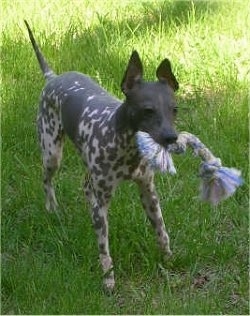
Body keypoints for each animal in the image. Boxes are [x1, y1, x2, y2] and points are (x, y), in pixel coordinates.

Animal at [24, 20, 180, 292]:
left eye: (175, 109)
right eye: (147, 110)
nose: (172, 138)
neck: (127, 150)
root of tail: (53, 77)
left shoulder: (148, 191)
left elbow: (161, 230)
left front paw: (168, 259)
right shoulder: (104, 201)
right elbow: (104, 249)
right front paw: (108, 279)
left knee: (86, 187)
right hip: (51, 151)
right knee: (47, 181)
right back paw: (52, 209)